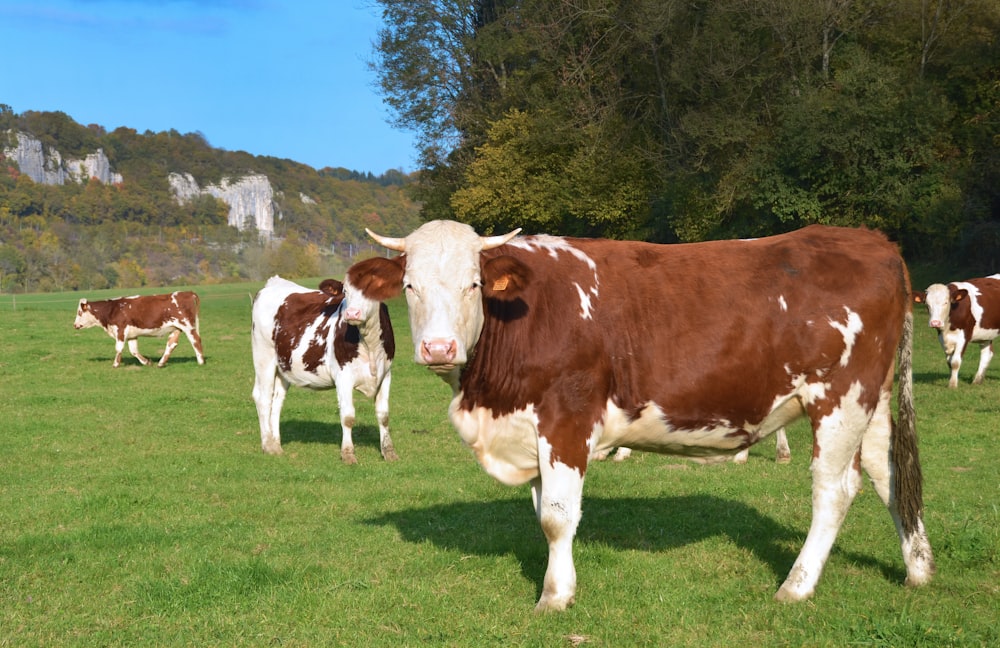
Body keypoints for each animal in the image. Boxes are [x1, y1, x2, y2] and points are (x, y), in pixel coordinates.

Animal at [73, 292, 205, 368]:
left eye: (79, 312)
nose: (75, 325)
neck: (113, 309)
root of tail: (187, 292)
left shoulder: (121, 330)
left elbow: (119, 348)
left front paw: (115, 364)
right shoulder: (132, 335)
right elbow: (134, 351)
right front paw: (146, 362)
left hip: (188, 326)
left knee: (196, 340)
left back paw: (201, 362)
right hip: (176, 328)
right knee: (171, 344)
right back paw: (161, 363)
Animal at [250, 276, 398, 464]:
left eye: (371, 290)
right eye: (345, 291)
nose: (352, 313)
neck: (369, 343)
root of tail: (274, 283)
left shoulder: (385, 374)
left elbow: (383, 415)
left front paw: (389, 452)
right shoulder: (343, 376)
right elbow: (348, 416)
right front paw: (348, 454)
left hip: (283, 366)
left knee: (277, 400)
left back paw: (276, 444)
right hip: (263, 356)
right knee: (263, 398)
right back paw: (268, 445)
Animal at [346, 223, 936, 612]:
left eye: (473, 283)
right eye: (410, 286)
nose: (438, 348)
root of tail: (874, 241)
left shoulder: (566, 416)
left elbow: (556, 516)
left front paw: (554, 597)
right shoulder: (530, 429)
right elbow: (543, 513)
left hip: (840, 397)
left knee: (834, 490)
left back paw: (796, 585)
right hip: (871, 400)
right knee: (889, 474)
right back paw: (918, 569)